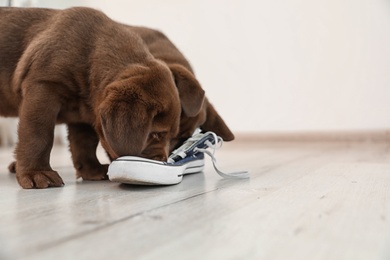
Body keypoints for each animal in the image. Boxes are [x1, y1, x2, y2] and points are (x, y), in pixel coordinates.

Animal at [0, 6, 204, 189]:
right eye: (155, 134)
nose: (163, 161)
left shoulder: (83, 114)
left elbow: (84, 144)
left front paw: (92, 171)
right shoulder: (43, 87)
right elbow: (38, 134)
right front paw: (37, 172)